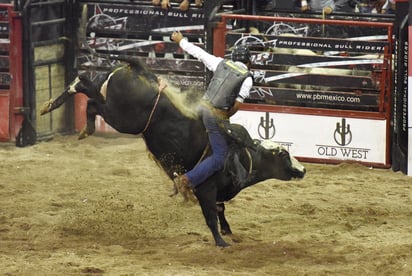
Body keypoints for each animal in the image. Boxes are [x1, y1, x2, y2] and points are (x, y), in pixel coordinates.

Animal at [41, 58, 306, 248]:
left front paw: (228, 230)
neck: (243, 157)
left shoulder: (218, 193)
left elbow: (221, 211)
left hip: (115, 107)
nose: (303, 169)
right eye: (283, 154)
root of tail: (138, 70)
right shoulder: (206, 189)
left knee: (87, 87)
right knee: (91, 99)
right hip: (123, 118)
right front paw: (221, 242)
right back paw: (79, 122)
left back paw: (56, 106)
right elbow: (211, 215)